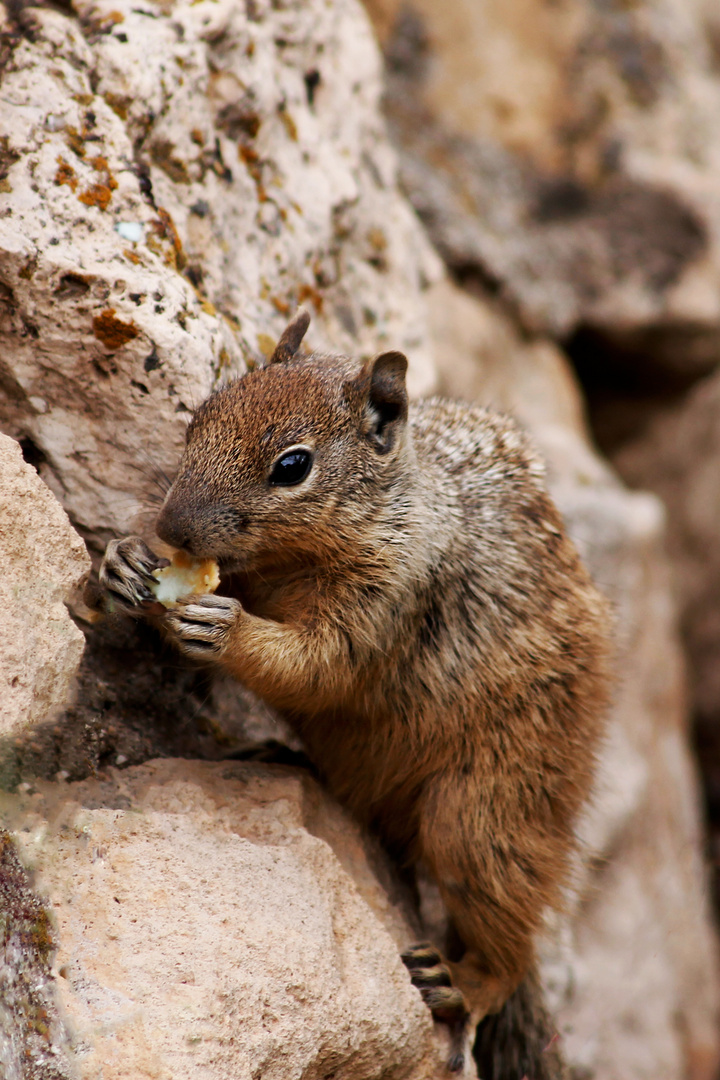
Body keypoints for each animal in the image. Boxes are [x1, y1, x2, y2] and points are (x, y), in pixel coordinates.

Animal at [98, 308, 613, 1075]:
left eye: (292, 466)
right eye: (199, 419)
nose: (171, 527)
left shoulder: (386, 603)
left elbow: (319, 668)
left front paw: (226, 629)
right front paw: (122, 562)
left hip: (484, 814)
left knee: (510, 940)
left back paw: (460, 982)